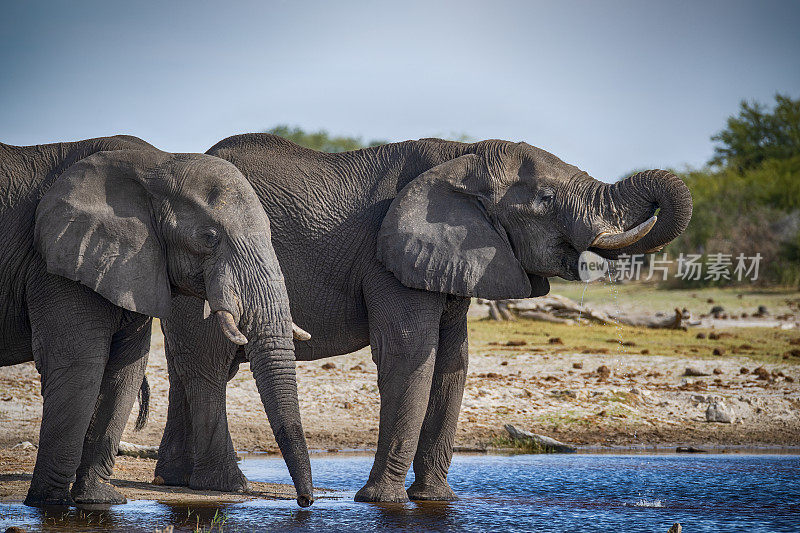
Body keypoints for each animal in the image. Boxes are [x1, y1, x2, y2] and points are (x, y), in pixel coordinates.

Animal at [0, 136, 316, 508]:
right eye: (209, 238)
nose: (305, 502)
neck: (156, 164)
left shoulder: (126, 266)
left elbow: (125, 373)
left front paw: (99, 499)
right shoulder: (56, 264)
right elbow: (80, 367)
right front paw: (51, 505)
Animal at [158, 135, 692, 500]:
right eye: (544, 201)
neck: (462, 155)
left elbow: (453, 363)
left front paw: (434, 500)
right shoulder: (388, 258)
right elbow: (409, 354)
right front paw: (380, 502)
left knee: (190, 369)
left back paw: (175, 480)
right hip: (203, 269)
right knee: (209, 367)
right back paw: (225, 487)